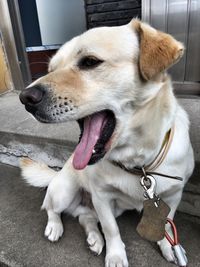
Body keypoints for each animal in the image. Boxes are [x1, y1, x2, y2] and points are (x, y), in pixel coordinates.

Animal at [18, 19, 194, 267]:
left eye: (90, 62)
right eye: (51, 69)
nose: (25, 98)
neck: (137, 162)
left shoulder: (173, 195)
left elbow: (166, 223)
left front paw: (168, 246)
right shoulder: (101, 197)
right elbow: (111, 230)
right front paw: (116, 256)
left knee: (85, 218)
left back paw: (94, 239)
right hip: (64, 191)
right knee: (51, 208)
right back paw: (55, 227)